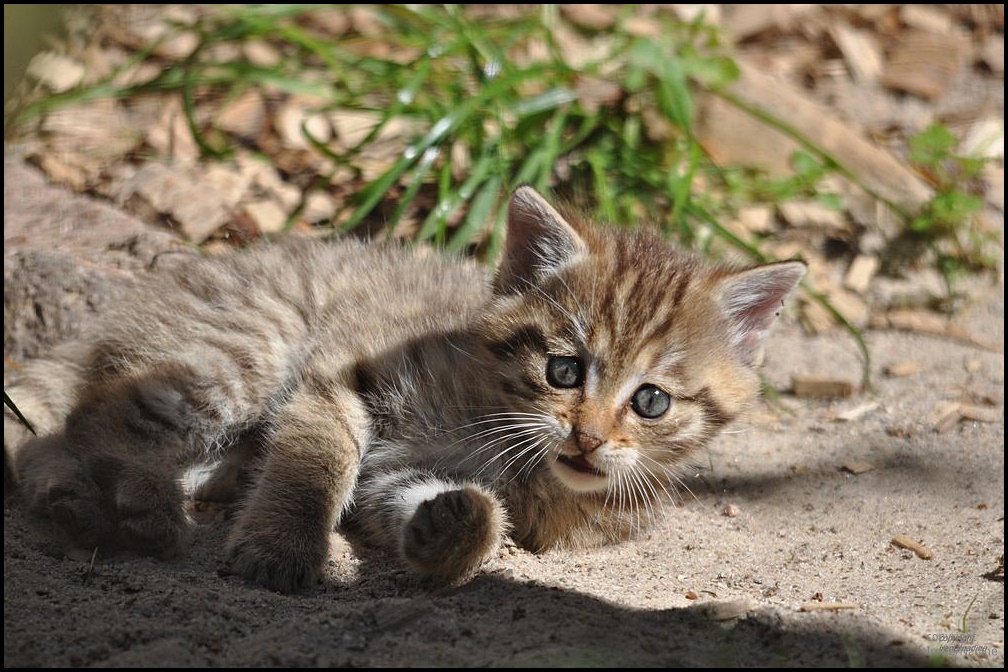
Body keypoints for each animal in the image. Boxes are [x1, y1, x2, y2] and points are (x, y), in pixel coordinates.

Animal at [0, 185, 802, 592]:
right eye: (564, 370)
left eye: (651, 401)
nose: (589, 437)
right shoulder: (338, 375)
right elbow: (313, 465)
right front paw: (280, 548)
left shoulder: (404, 473)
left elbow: (445, 509)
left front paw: (455, 529)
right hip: (239, 352)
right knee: (96, 418)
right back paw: (142, 500)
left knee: (52, 433)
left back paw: (72, 499)